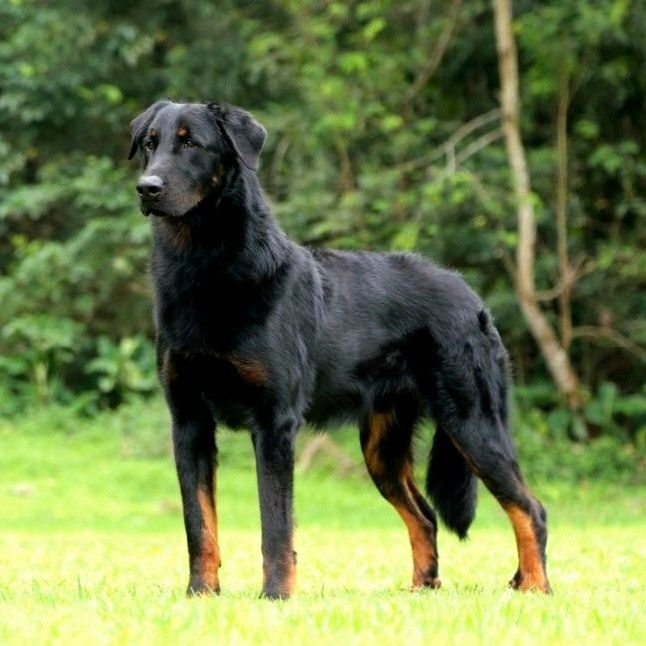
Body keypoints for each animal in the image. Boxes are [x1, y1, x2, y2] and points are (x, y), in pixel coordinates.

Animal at [130, 101, 552, 604]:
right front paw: (200, 594)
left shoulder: (274, 425)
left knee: (530, 509)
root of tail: (469, 294)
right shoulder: (189, 422)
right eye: (150, 144)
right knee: (426, 516)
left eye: (191, 142)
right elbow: (199, 525)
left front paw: (276, 596)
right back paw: (421, 590)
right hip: (383, 451)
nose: (147, 188)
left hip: (472, 425)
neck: (206, 269)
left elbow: (276, 528)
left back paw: (534, 586)